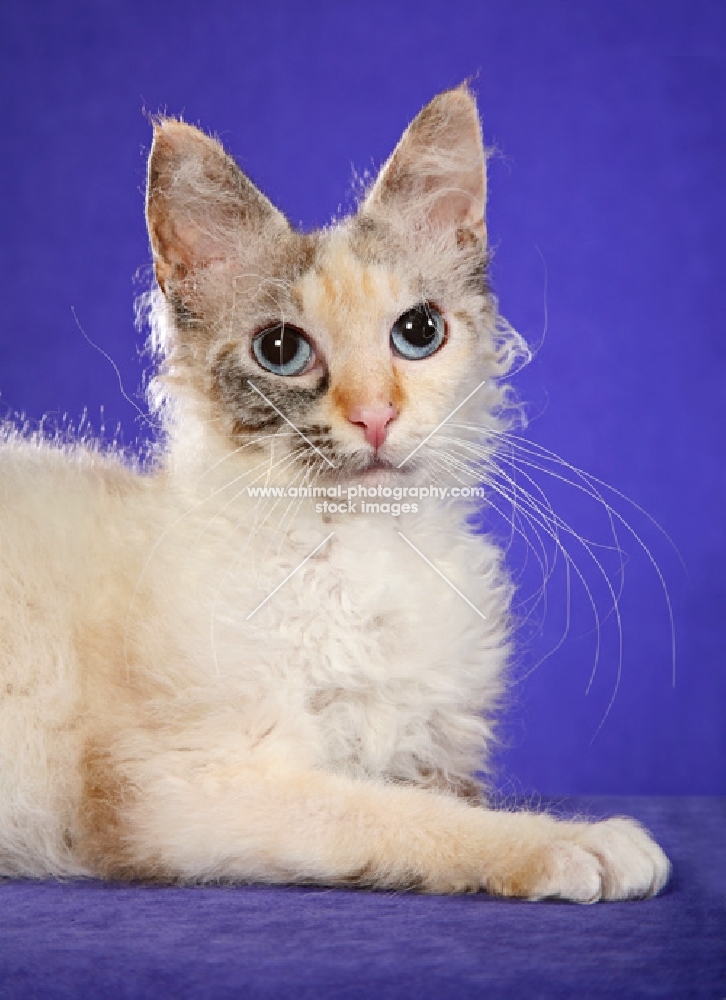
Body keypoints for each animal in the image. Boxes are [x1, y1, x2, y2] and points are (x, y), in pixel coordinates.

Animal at [0, 84, 672, 900]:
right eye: (281, 351)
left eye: (417, 333)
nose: (375, 415)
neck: (363, 547)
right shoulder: (191, 788)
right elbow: (403, 819)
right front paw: (575, 843)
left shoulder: (430, 754)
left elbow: (437, 798)